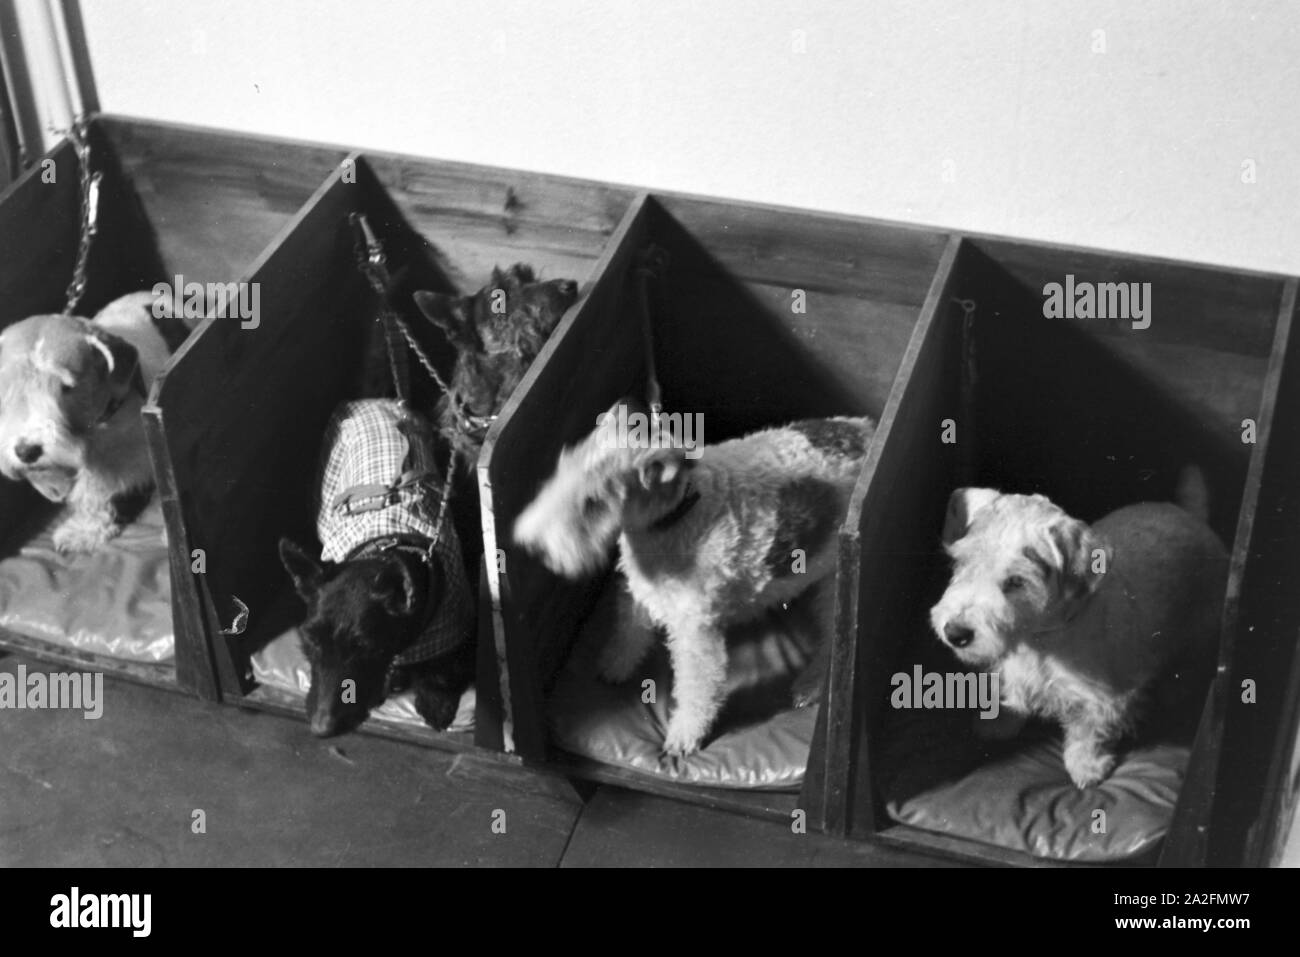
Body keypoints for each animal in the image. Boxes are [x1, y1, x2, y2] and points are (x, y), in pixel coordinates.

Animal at [279, 400, 478, 738]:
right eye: (311, 639)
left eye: (365, 648)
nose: (321, 728)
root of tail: (374, 401)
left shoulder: (453, 624)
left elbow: (443, 667)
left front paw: (435, 702)